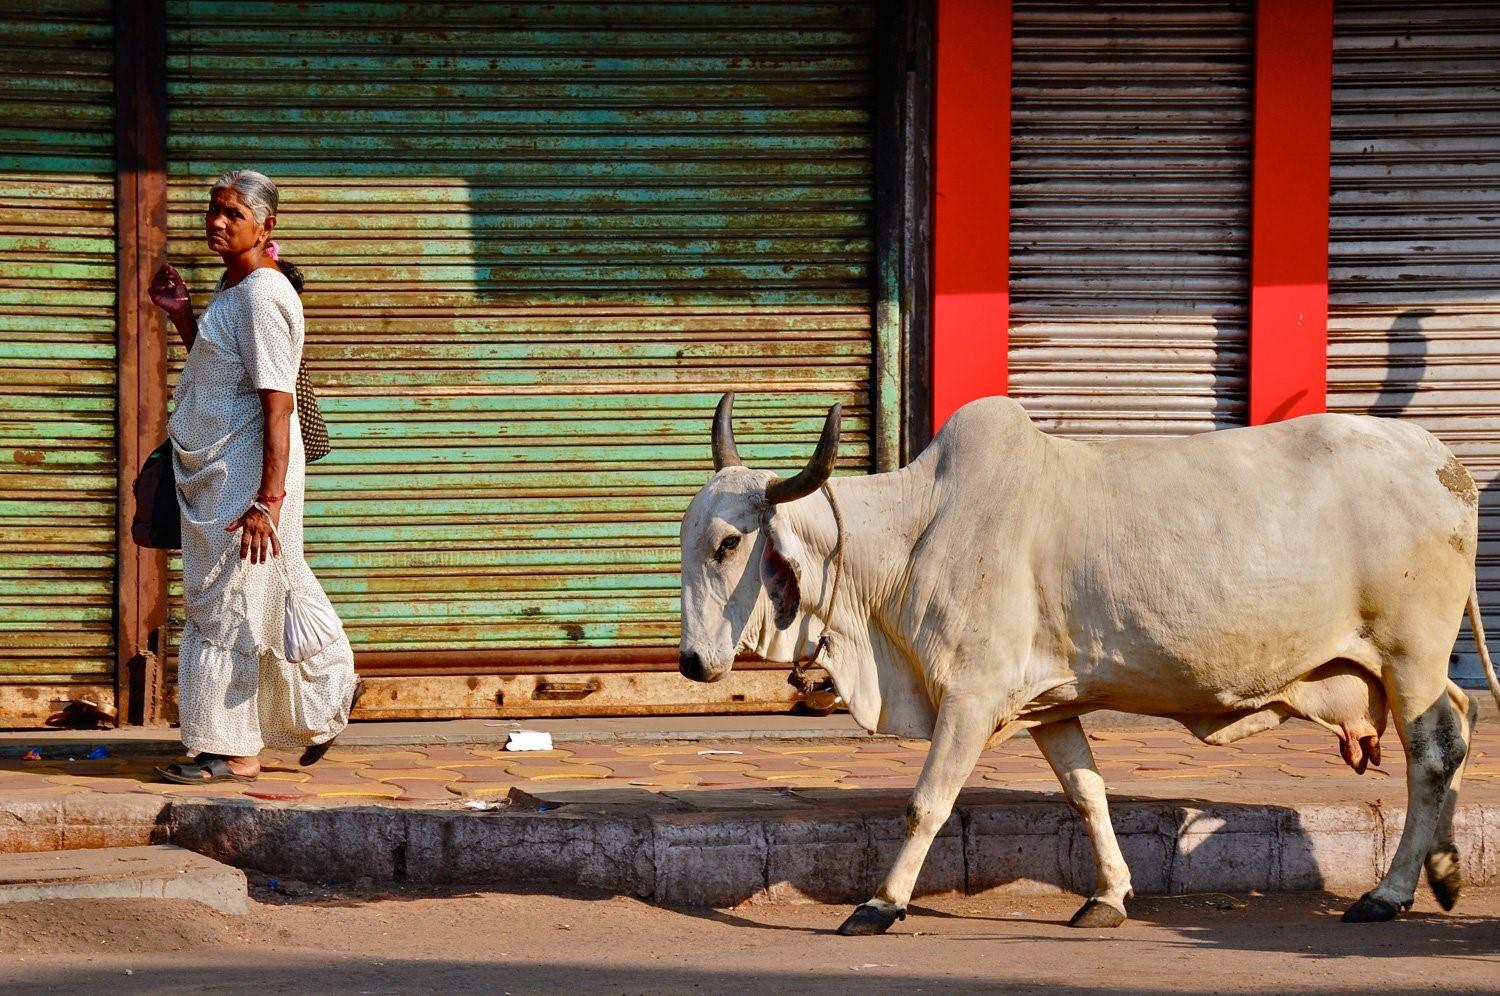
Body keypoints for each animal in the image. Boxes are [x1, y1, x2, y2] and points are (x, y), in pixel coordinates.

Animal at [681, 390, 1500, 936]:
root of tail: (1446, 462)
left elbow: (926, 804)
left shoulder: (972, 696)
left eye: (729, 544)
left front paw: (880, 903)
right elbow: (1088, 796)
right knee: (1458, 726)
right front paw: (1108, 897)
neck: (917, 532)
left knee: (1432, 750)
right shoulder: (1050, 705)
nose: (691, 662)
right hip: (1406, 667)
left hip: (1409, 653)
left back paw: (1389, 894)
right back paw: (1444, 870)